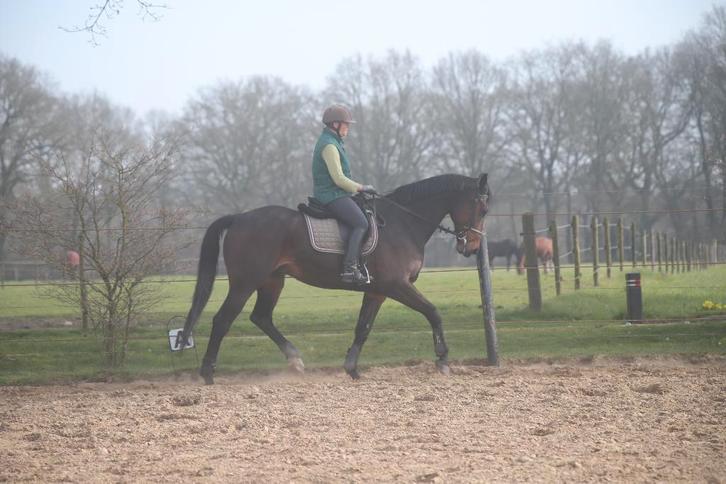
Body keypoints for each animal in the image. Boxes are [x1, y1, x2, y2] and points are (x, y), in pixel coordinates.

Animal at [179, 173, 490, 384]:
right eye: (483, 209)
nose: (472, 247)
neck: (403, 224)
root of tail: (239, 218)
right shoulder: (397, 285)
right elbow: (433, 313)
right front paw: (443, 359)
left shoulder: (377, 291)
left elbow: (363, 328)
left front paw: (351, 368)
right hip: (245, 282)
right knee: (223, 320)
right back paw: (208, 373)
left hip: (272, 281)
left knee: (261, 317)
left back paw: (295, 360)